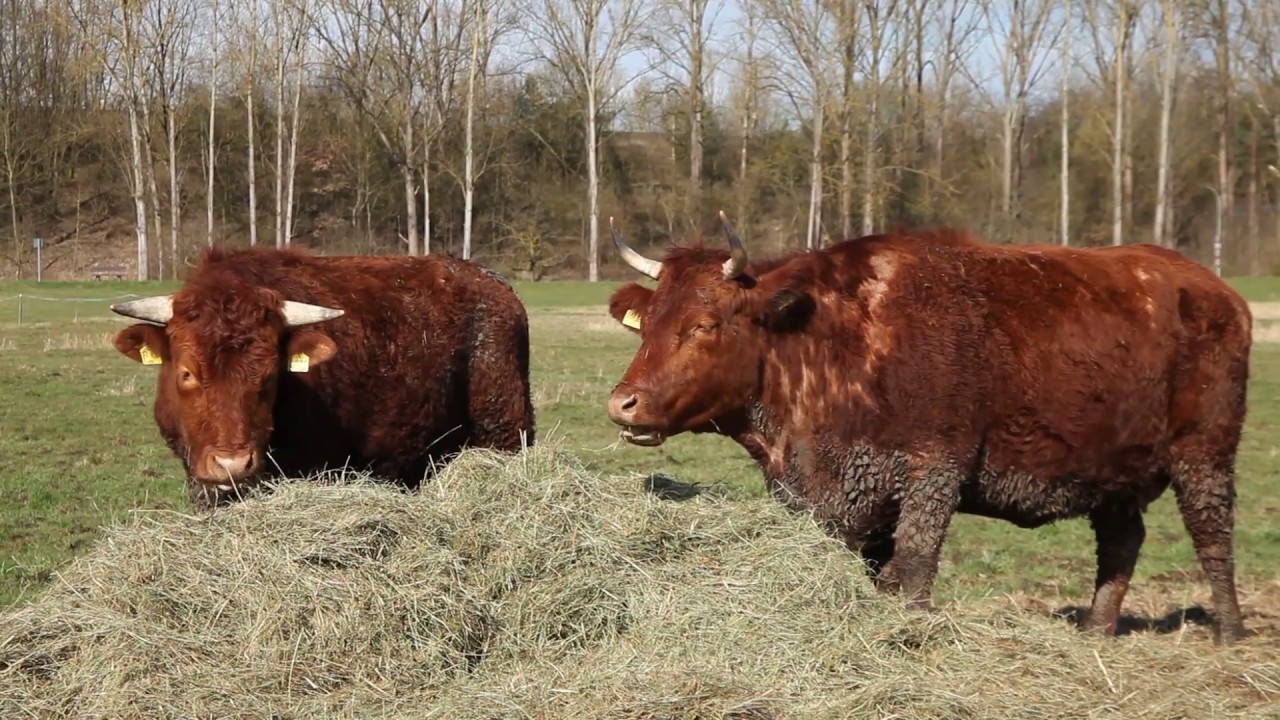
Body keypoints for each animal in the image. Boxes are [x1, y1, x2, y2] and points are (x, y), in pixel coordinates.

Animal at [603, 211, 1251, 645]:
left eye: (704, 324)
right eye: (647, 322)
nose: (623, 404)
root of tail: (1214, 287)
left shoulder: (933, 472)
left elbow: (911, 568)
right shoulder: (843, 496)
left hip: (1206, 455)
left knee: (1213, 538)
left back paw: (1230, 631)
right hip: (1114, 471)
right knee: (1122, 542)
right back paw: (1096, 630)